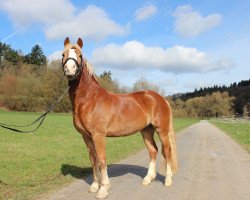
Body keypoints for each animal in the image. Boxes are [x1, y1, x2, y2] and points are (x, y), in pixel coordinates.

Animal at [61, 37, 177, 198]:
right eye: (63, 54)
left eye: (80, 55)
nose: (69, 70)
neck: (89, 99)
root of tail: (160, 98)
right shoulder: (86, 136)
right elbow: (93, 160)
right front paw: (94, 186)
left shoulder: (98, 135)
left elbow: (101, 160)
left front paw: (103, 189)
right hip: (146, 131)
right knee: (153, 151)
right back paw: (147, 179)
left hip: (162, 130)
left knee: (167, 151)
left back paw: (168, 180)